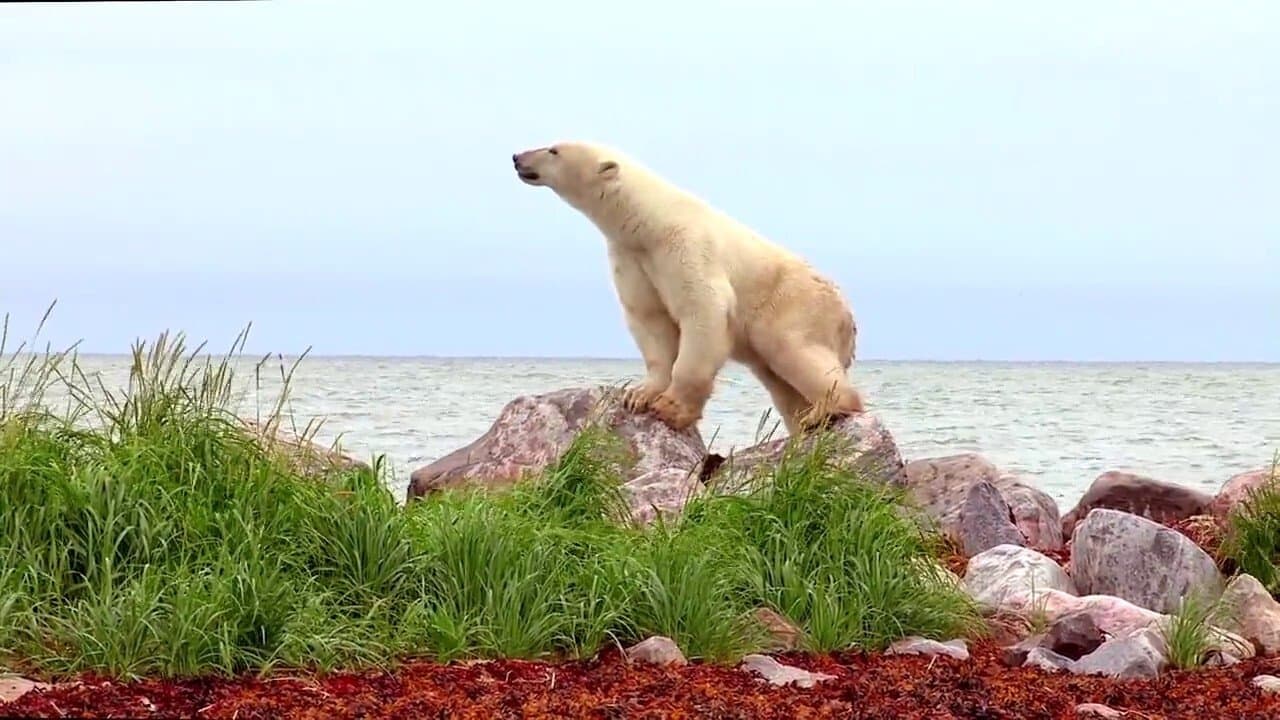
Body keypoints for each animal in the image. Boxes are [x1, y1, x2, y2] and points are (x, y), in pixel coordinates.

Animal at [511, 140, 865, 435]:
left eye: (554, 149)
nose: (517, 157)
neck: (649, 221)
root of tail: (848, 319)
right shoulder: (632, 258)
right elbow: (649, 319)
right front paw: (638, 395)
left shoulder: (686, 247)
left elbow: (702, 311)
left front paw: (671, 408)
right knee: (780, 383)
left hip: (795, 306)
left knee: (794, 349)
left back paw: (826, 410)